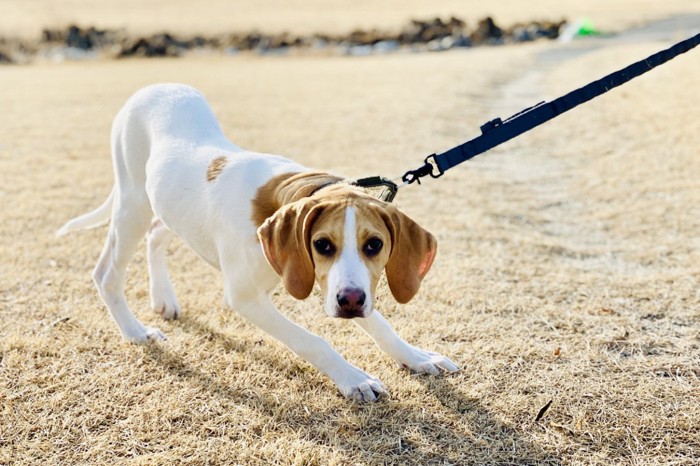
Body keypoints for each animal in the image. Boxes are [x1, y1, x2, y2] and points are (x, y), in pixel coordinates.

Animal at [57, 83, 456, 400]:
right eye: (323, 245)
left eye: (374, 245)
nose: (351, 302)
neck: (285, 194)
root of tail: (150, 88)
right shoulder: (247, 297)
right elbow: (313, 341)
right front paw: (353, 379)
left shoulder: (328, 281)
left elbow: (380, 324)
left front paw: (415, 357)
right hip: (133, 203)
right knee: (107, 273)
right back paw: (136, 332)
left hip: (168, 207)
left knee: (156, 234)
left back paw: (163, 299)